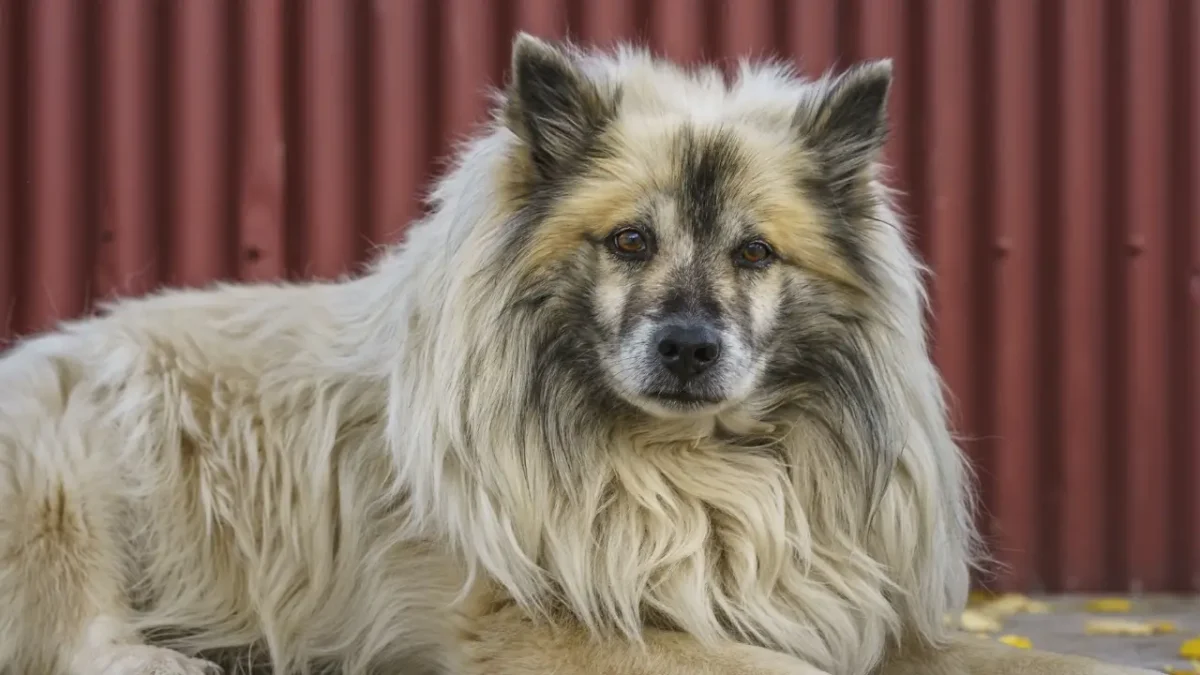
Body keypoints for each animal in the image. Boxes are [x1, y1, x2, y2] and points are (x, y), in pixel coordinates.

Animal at [0, 34, 1156, 672]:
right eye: (631, 241)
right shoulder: (546, 629)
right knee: (76, 630)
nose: (688, 346)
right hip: (66, 464)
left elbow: (1038, 657)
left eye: (754, 252)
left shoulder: (852, 611)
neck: (696, 467)